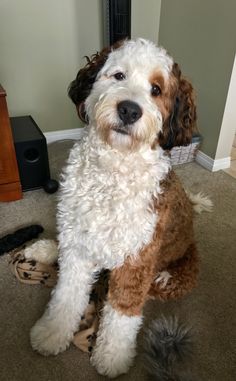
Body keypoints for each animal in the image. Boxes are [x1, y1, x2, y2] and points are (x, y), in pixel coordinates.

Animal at [30, 37, 199, 378]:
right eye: (119, 75)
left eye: (157, 89)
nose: (130, 110)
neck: (113, 170)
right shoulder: (79, 245)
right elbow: (66, 295)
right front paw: (53, 331)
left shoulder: (137, 260)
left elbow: (122, 312)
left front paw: (112, 356)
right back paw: (46, 249)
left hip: (175, 275)